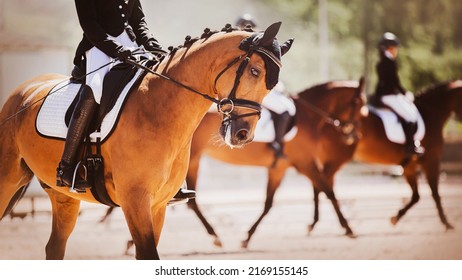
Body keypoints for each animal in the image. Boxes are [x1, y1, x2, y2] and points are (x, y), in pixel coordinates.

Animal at [0, 22, 292, 260]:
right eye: (254, 71)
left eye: (271, 83)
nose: (243, 134)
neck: (157, 107)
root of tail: (24, 90)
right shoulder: (135, 201)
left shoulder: (157, 205)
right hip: (8, 180)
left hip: (63, 197)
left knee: (55, 248)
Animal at [184, 78, 364, 247]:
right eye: (358, 104)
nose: (354, 136)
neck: (307, 117)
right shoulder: (306, 163)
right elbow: (329, 191)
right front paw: (348, 228)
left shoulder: (279, 169)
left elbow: (269, 203)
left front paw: (247, 237)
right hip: (191, 160)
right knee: (191, 201)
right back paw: (214, 236)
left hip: (193, 162)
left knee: (191, 201)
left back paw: (214, 236)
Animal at [354, 79, 462, 230]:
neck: (431, 112)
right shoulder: (432, 161)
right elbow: (435, 193)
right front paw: (446, 223)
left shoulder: (409, 166)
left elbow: (416, 196)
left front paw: (396, 217)